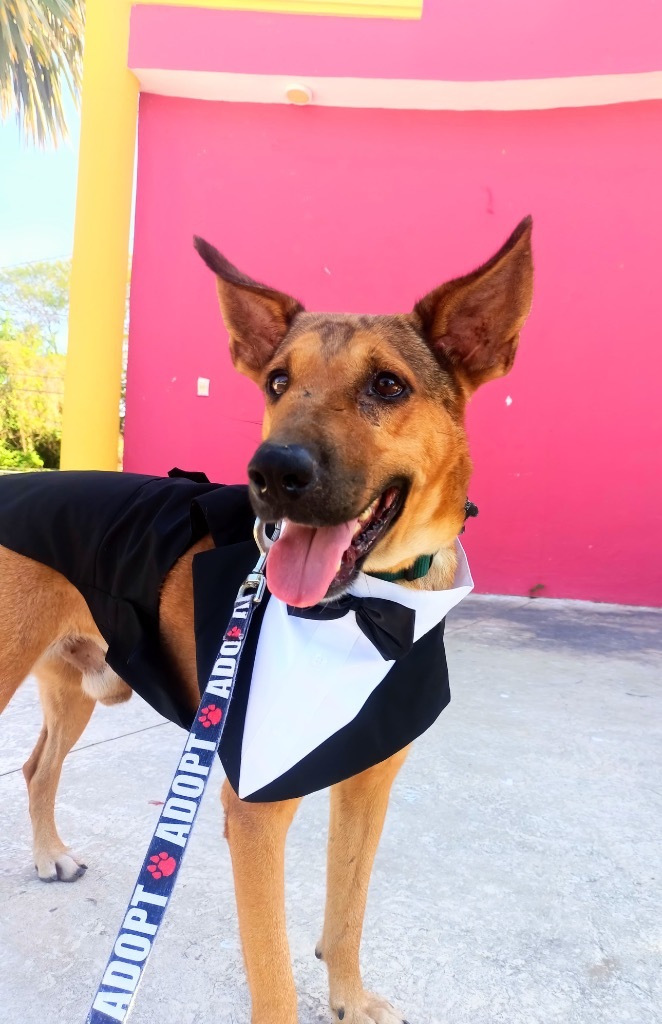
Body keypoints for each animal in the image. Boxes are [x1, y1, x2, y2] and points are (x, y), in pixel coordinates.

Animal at [0, 218, 532, 1024]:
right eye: (278, 382)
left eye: (387, 385)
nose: (272, 472)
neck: (371, 611)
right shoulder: (254, 811)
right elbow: (274, 977)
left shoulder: (369, 783)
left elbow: (346, 912)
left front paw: (349, 1000)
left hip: (78, 685)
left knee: (37, 767)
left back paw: (49, 854)